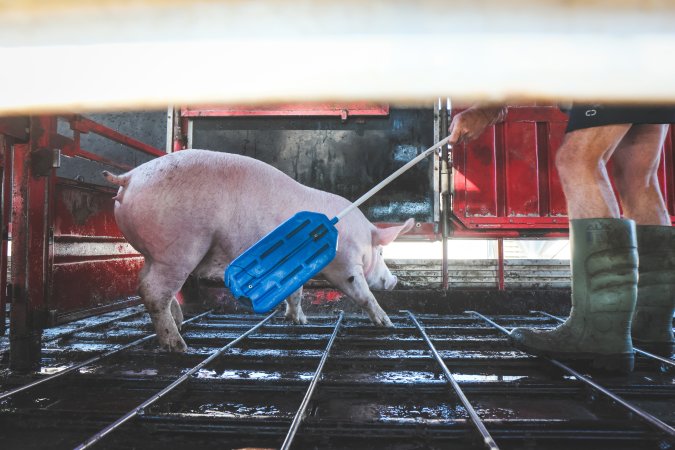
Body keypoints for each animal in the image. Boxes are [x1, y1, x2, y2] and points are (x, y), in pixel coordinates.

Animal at [103, 149, 414, 352]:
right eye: (381, 253)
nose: (395, 280)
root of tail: (129, 178)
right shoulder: (345, 265)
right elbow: (362, 293)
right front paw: (387, 324)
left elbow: (295, 293)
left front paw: (299, 321)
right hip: (178, 246)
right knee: (153, 291)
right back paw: (178, 345)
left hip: (154, 253)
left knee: (145, 284)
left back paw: (179, 324)